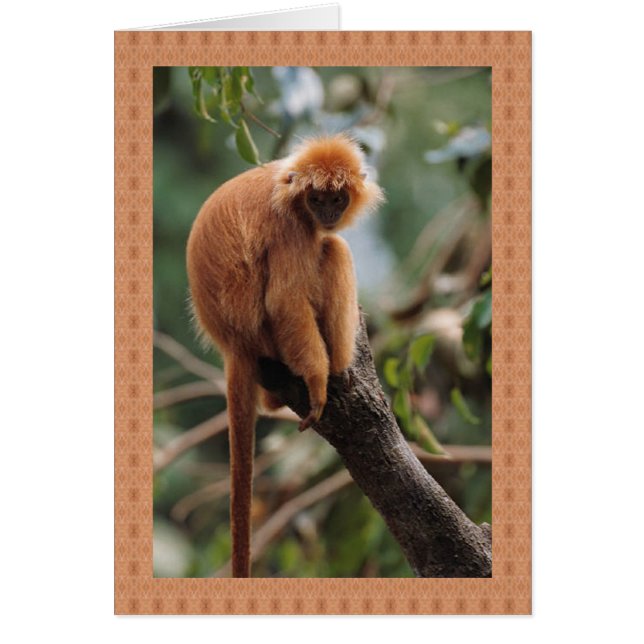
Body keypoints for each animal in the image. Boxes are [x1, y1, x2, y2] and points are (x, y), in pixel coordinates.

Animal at [186, 134, 384, 578]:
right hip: (265, 335)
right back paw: (338, 370)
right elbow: (285, 302)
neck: (291, 193)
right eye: (317, 199)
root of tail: (232, 342)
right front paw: (317, 384)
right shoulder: (290, 228)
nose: (327, 213)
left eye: (337, 199)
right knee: (335, 249)